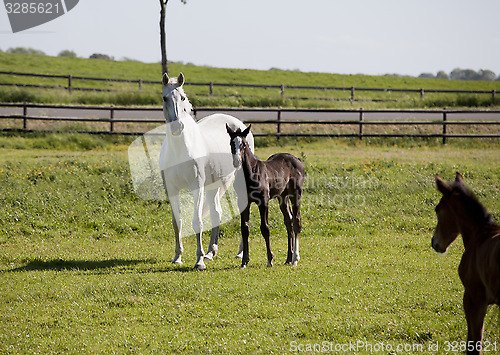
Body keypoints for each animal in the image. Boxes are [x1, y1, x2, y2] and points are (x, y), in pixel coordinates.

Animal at [160, 73, 254, 270]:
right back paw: (211, 252)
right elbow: (177, 222)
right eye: (165, 98)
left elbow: (197, 221)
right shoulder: (171, 189)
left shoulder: (197, 187)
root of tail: (241, 126)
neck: (180, 149)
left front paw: (199, 261)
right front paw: (178, 257)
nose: (177, 127)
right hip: (213, 186)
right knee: (216, 212)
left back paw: (240, 253)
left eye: (182, 98)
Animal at [227, 125, 304, 270]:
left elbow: (265, 228)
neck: (250, 173)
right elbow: (244, 228)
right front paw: (244, 262)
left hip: (296, 194)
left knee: (296, 221)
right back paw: (288, 259)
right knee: (289, 221)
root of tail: (297, 159)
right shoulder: (243, 202)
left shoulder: (263, 201)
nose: (236, 162)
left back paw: (295, 259)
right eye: (231, 143)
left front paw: (270, 260)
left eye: (244, 144)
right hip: (282, 197)